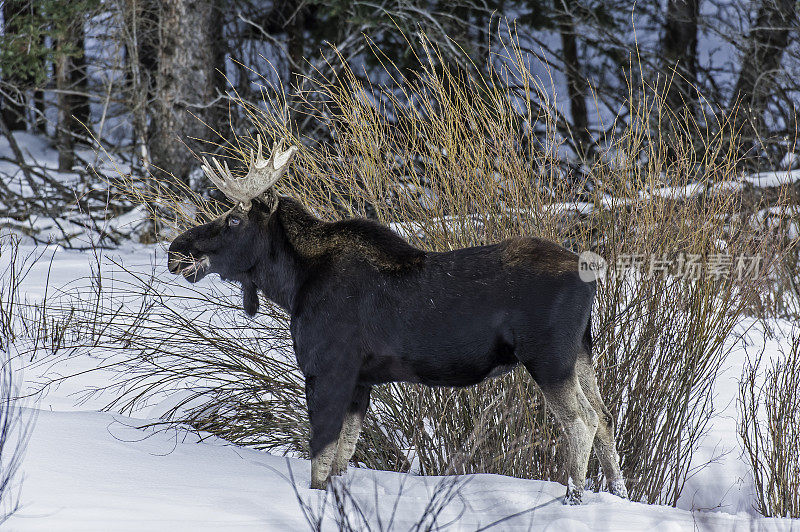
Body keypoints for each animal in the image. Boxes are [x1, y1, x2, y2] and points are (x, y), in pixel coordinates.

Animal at [169, 137, 628, 502]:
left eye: (233, 218)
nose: (176, 250)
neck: (293, 285)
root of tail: (592, 270)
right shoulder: (362, 379)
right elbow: (342, 457)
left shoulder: (327, 368)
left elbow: (319, 457)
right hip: (582, 350)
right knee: (606, 417)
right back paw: (619, 495)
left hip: (548, 357)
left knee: (582, 420)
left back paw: (573, 497)